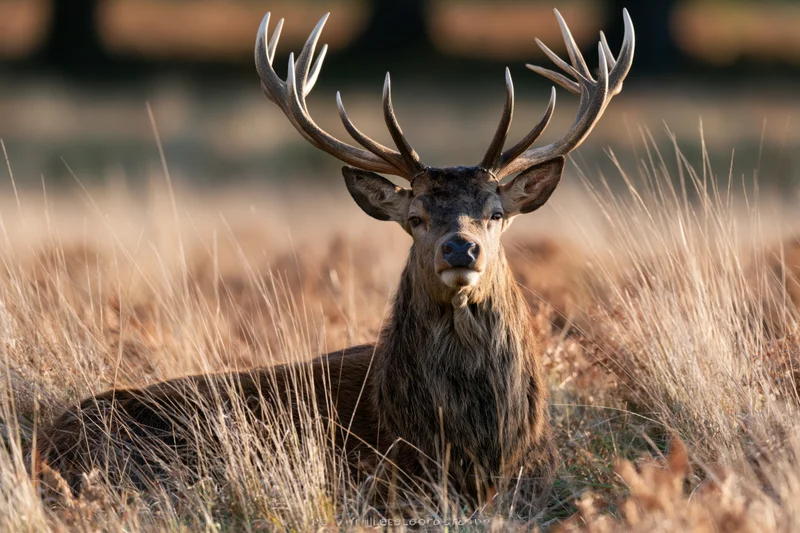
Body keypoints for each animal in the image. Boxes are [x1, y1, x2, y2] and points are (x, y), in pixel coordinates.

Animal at [34, 9, 634, 514]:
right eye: (415, 216)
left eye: (495, 212)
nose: (461, 248)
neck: (477, 448)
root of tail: (43, 441)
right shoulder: (387, 480)